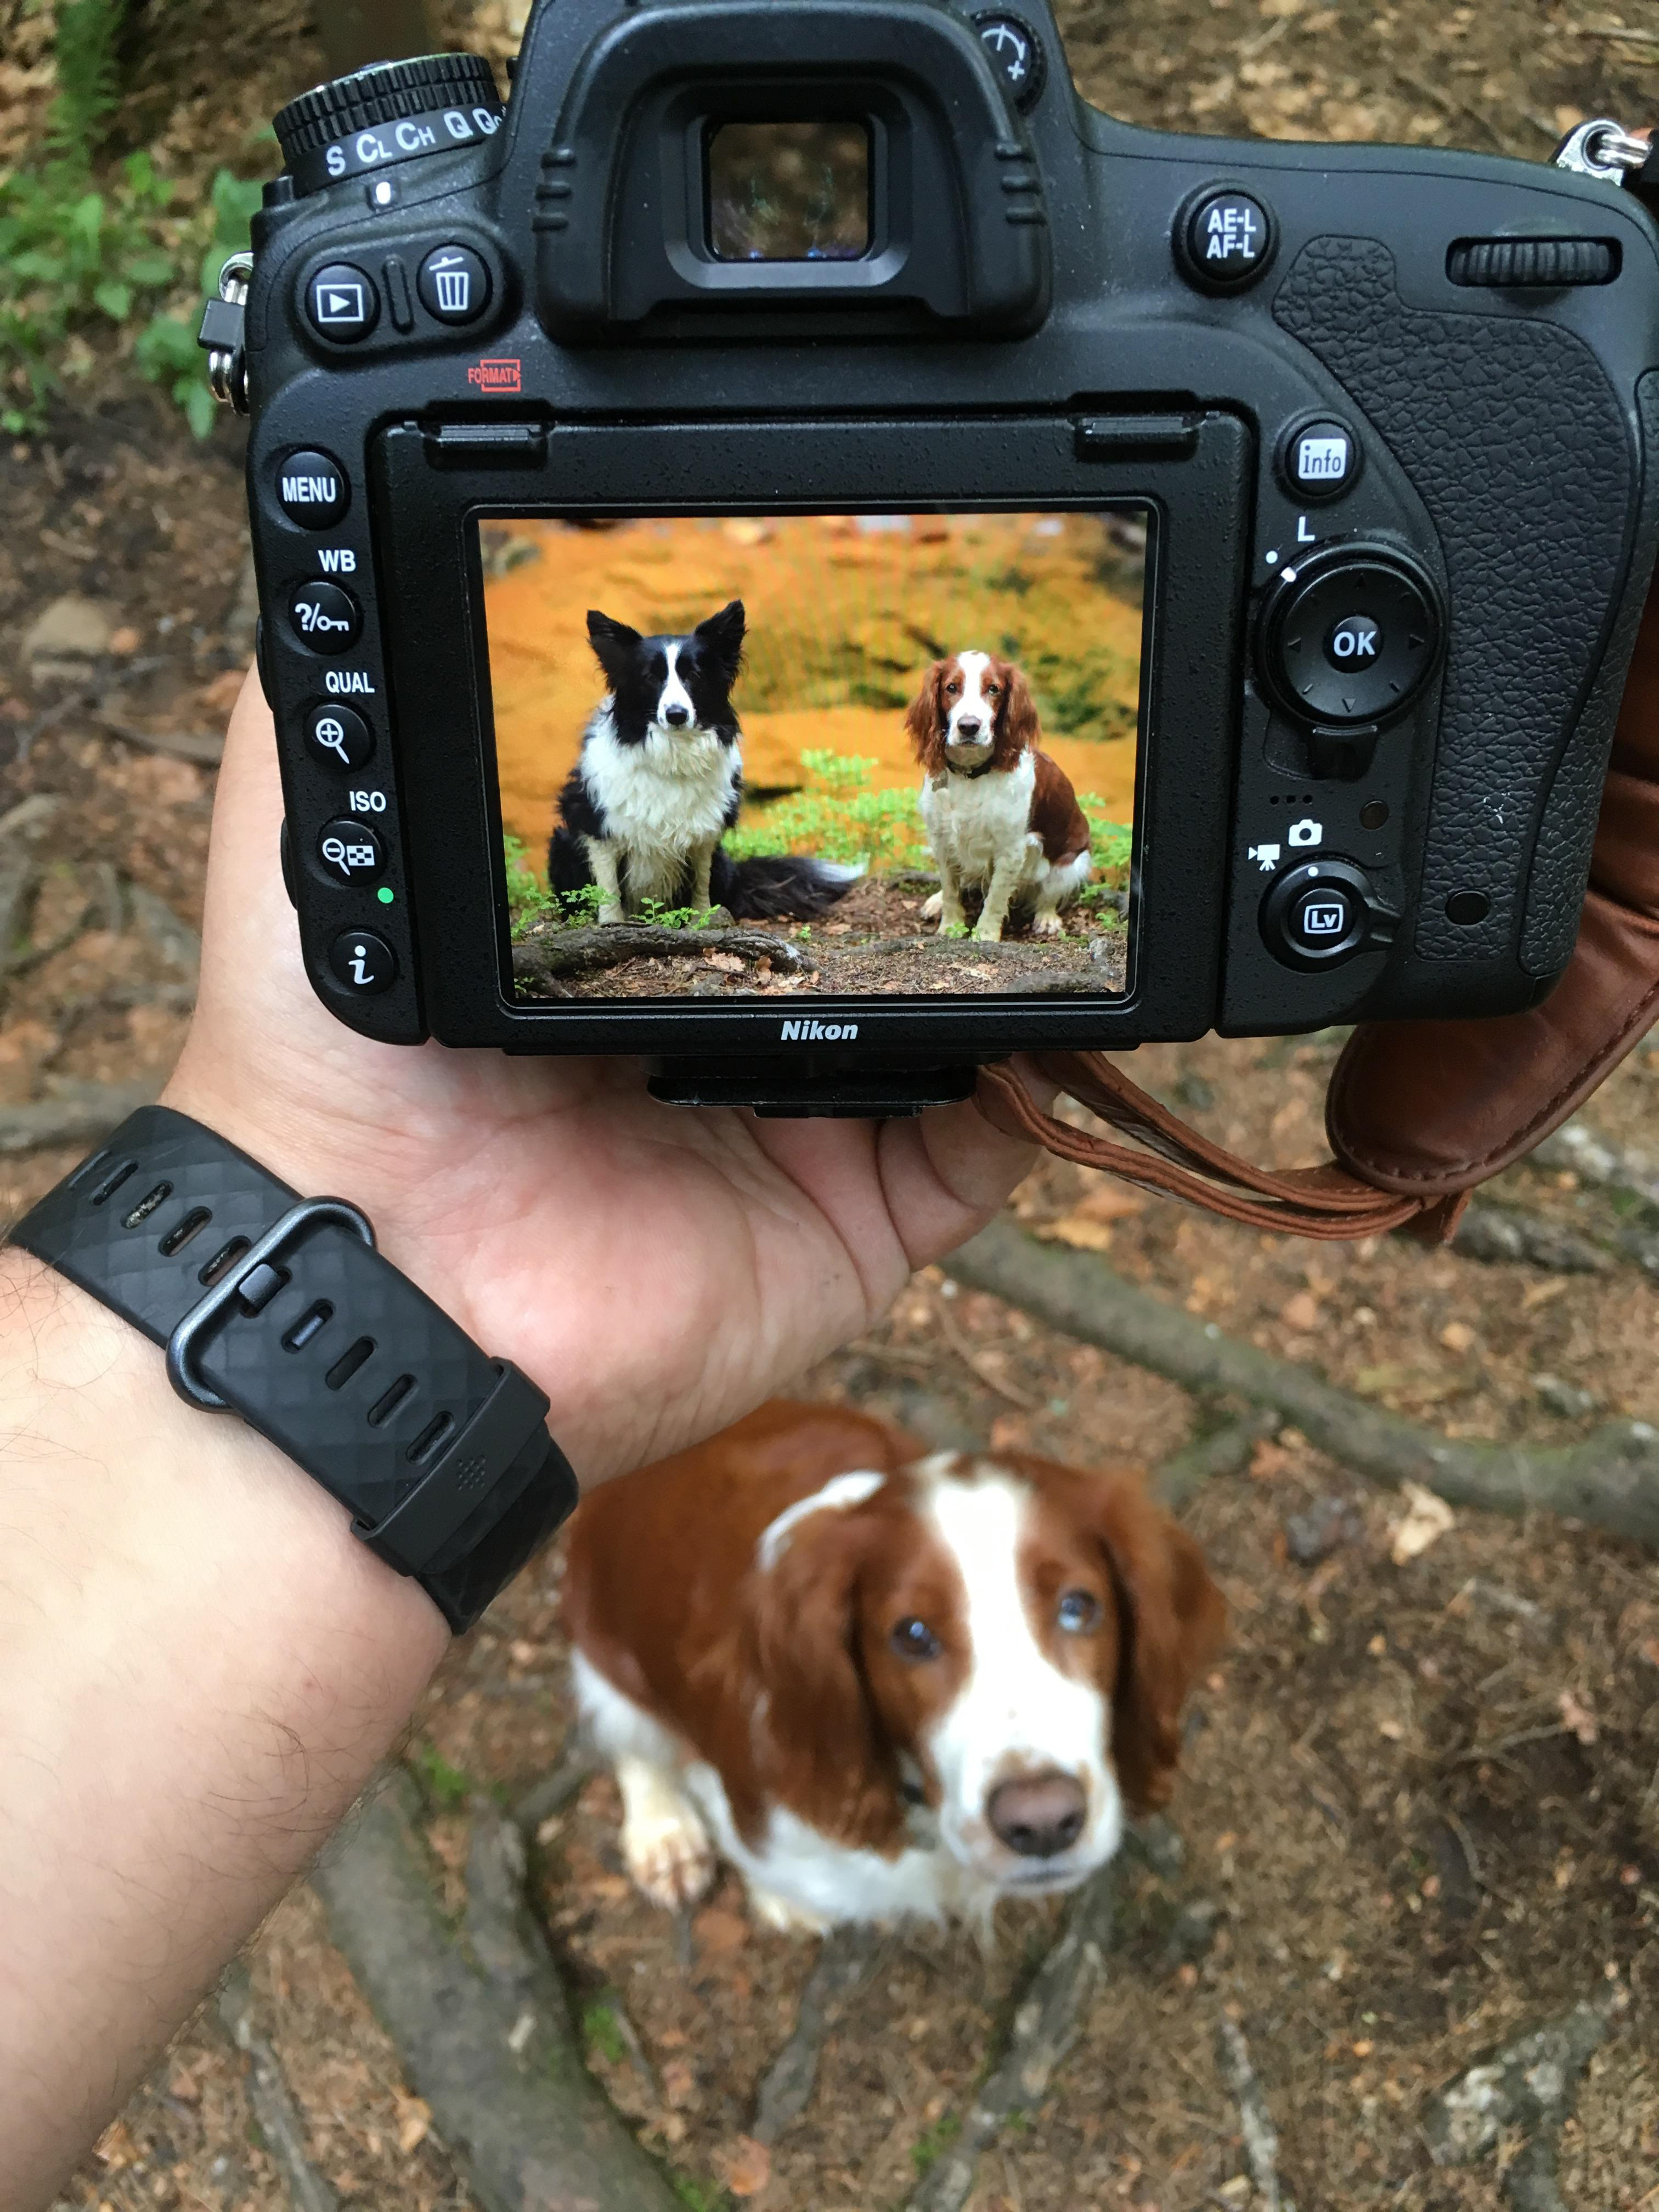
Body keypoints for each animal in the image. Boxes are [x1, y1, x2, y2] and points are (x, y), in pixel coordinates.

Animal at [547, 601, 859, 924]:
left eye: (694, 675)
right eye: (651, 677)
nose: (676, 715)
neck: (674, 753)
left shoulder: (705, 831)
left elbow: (701, 882)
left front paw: (702, 921)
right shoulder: (597, 825)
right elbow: (608, 887)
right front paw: (612, 924)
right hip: (561, 844)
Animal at [562, 1402, 1224, 1931]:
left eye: (1079, 1607)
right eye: (912, 1635)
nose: (1041, 1823)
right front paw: (780, 1900)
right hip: (604, 1660)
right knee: (628, 1743)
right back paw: (664, 1835)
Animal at [906, 650, 1092, 943]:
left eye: (994, 689)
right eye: (951, 687)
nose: (969, 727)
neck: (970, 775)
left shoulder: (1011, 849)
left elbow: (995, 898)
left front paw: (985, 935)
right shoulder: (941, 839)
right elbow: (950, 889)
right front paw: (951, 927)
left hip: (1073, 860)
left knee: (1050, 894)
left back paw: (1047, 918)